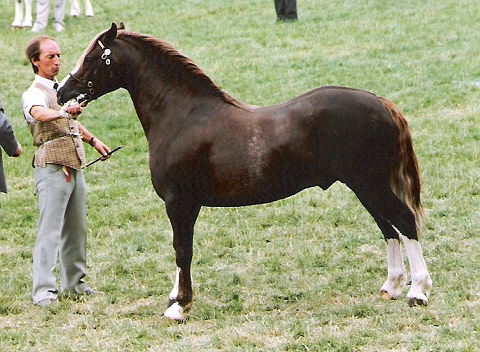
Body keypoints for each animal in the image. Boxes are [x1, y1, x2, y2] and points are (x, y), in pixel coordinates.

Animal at [58, 23, 434, 320]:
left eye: (92, 58)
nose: (63, 91)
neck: (183, 115)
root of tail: (381, 102)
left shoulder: (179, 202)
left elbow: (182, 249)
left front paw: (179, 306)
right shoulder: (182, 205)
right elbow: (180, 249)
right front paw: (176, 297)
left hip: (370, 184)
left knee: (403, 221)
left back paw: (417, 291)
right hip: (365, 186)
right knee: (388, 228)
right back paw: (391, 287)